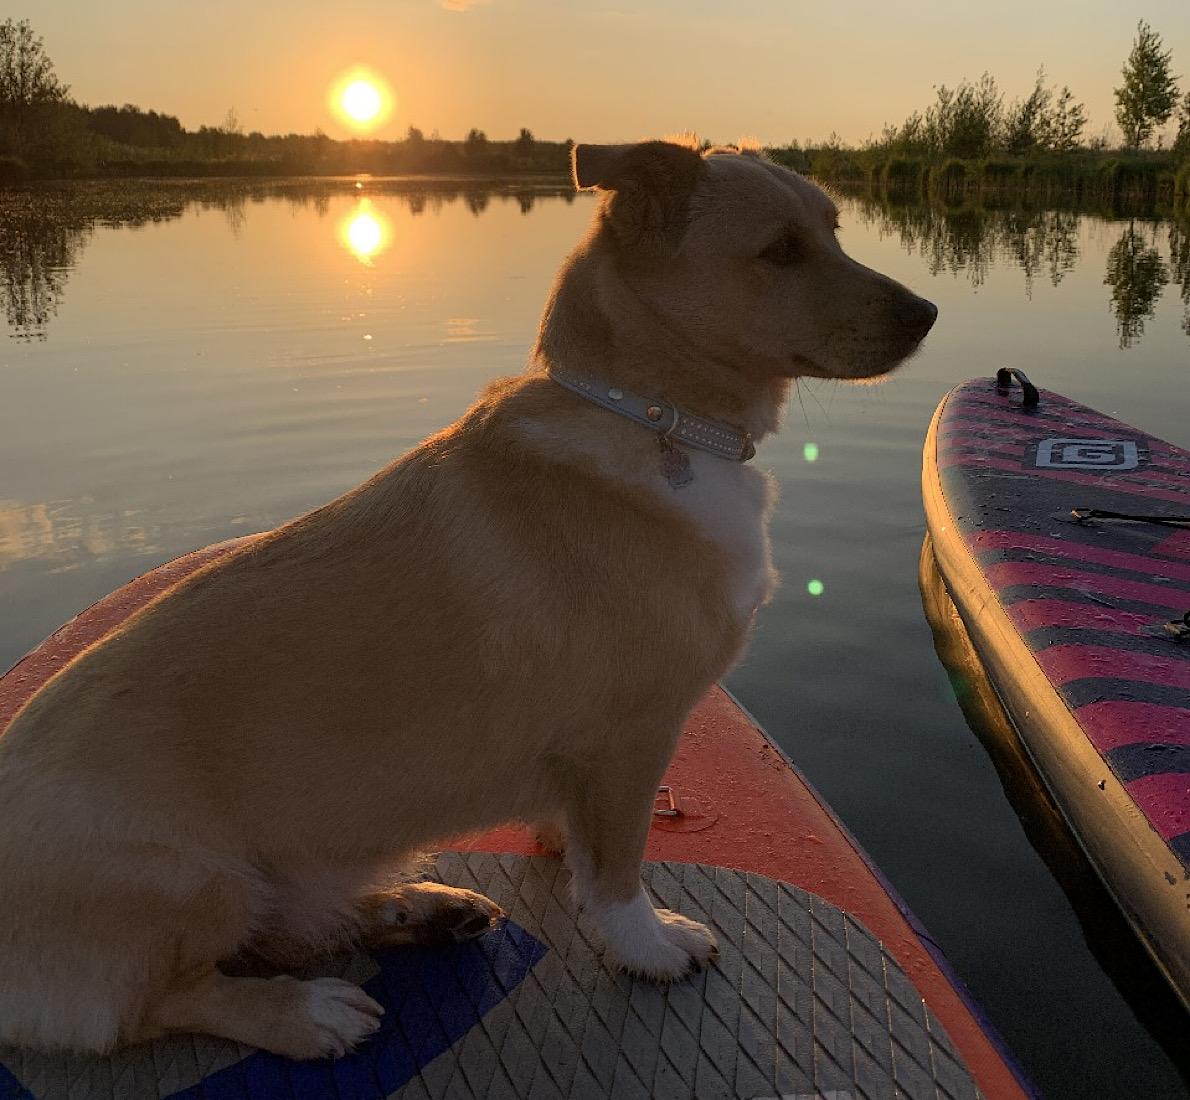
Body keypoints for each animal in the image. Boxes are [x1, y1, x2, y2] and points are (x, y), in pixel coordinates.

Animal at [0, 138, 936, 1060]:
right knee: (162, 1002)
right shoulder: (632, 738)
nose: (926, 313)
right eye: (780, 251)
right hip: (195, 878)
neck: (653, 417)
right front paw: (649, 946)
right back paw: (304, 1015)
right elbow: (620, 872)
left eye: (835, 230)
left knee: (288, 931)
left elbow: (580, 843)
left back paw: (416, 908)